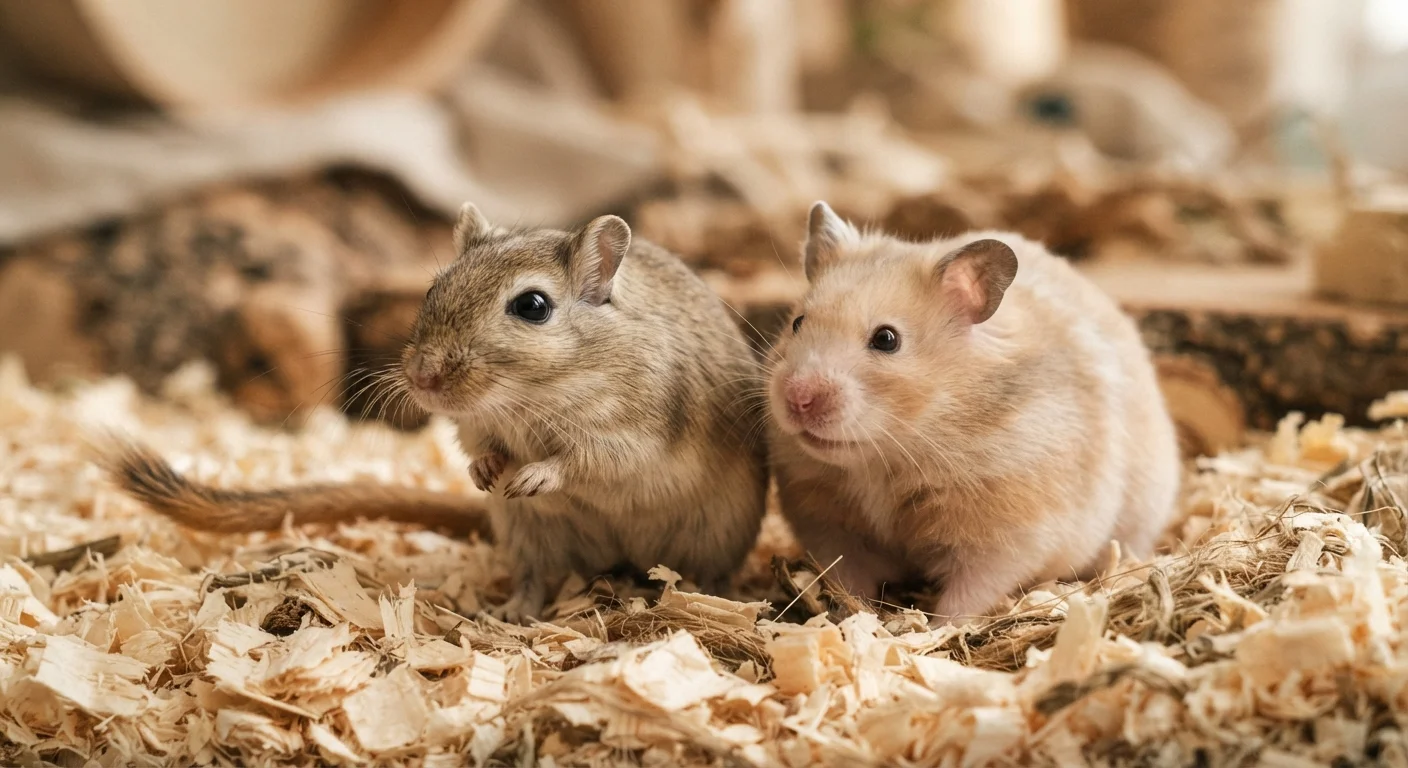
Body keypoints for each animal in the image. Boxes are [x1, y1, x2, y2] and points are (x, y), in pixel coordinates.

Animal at [103, 204, 770, 622]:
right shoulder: (475, 427)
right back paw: (511, 611)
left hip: (712, 533)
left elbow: (582, 460)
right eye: (432, 289)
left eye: (533, 306)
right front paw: (489, 475)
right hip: (531, 536)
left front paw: (530, 476)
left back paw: (710, 599)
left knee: (705, 574)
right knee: (536, 580)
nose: (421, 376)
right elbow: (480, 450)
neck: (532, 395)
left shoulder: (634, 431)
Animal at [765, 201, 1180, 623]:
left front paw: (939, 628)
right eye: (797, 323)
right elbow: (847, 576)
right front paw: (851, 615)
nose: (798, 399)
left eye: (886, 339)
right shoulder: (829, 524)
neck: (889, 457)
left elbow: (969, 593)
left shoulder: (1009, 533)